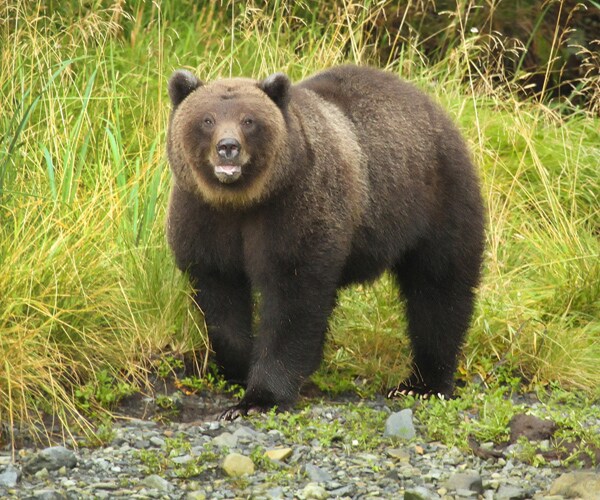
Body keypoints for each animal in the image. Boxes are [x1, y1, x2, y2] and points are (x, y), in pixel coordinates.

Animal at [166, 64, 486, 420]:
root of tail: (431, 105)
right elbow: (220, 298)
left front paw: (259, 397)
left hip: (434, 200)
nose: (228, 147)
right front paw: (238, 366)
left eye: (249, 120)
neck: (242, 202)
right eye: (207, 119)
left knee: (439, 289)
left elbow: (293, 299)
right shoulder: (204, 217)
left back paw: (423, 383)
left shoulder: (294, 207)